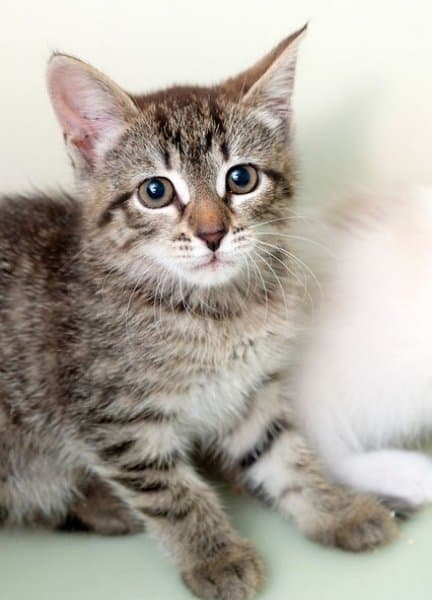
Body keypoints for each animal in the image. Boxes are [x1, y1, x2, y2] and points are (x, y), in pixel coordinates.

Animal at [0, 25, 396, 600]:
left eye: (242, 178)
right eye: (155, 191)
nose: (213, 233)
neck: (218, 313)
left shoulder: (246, 391)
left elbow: (282, 453)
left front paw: (334, 509)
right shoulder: (113, 417)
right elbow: (173, 493)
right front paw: (215, 555)